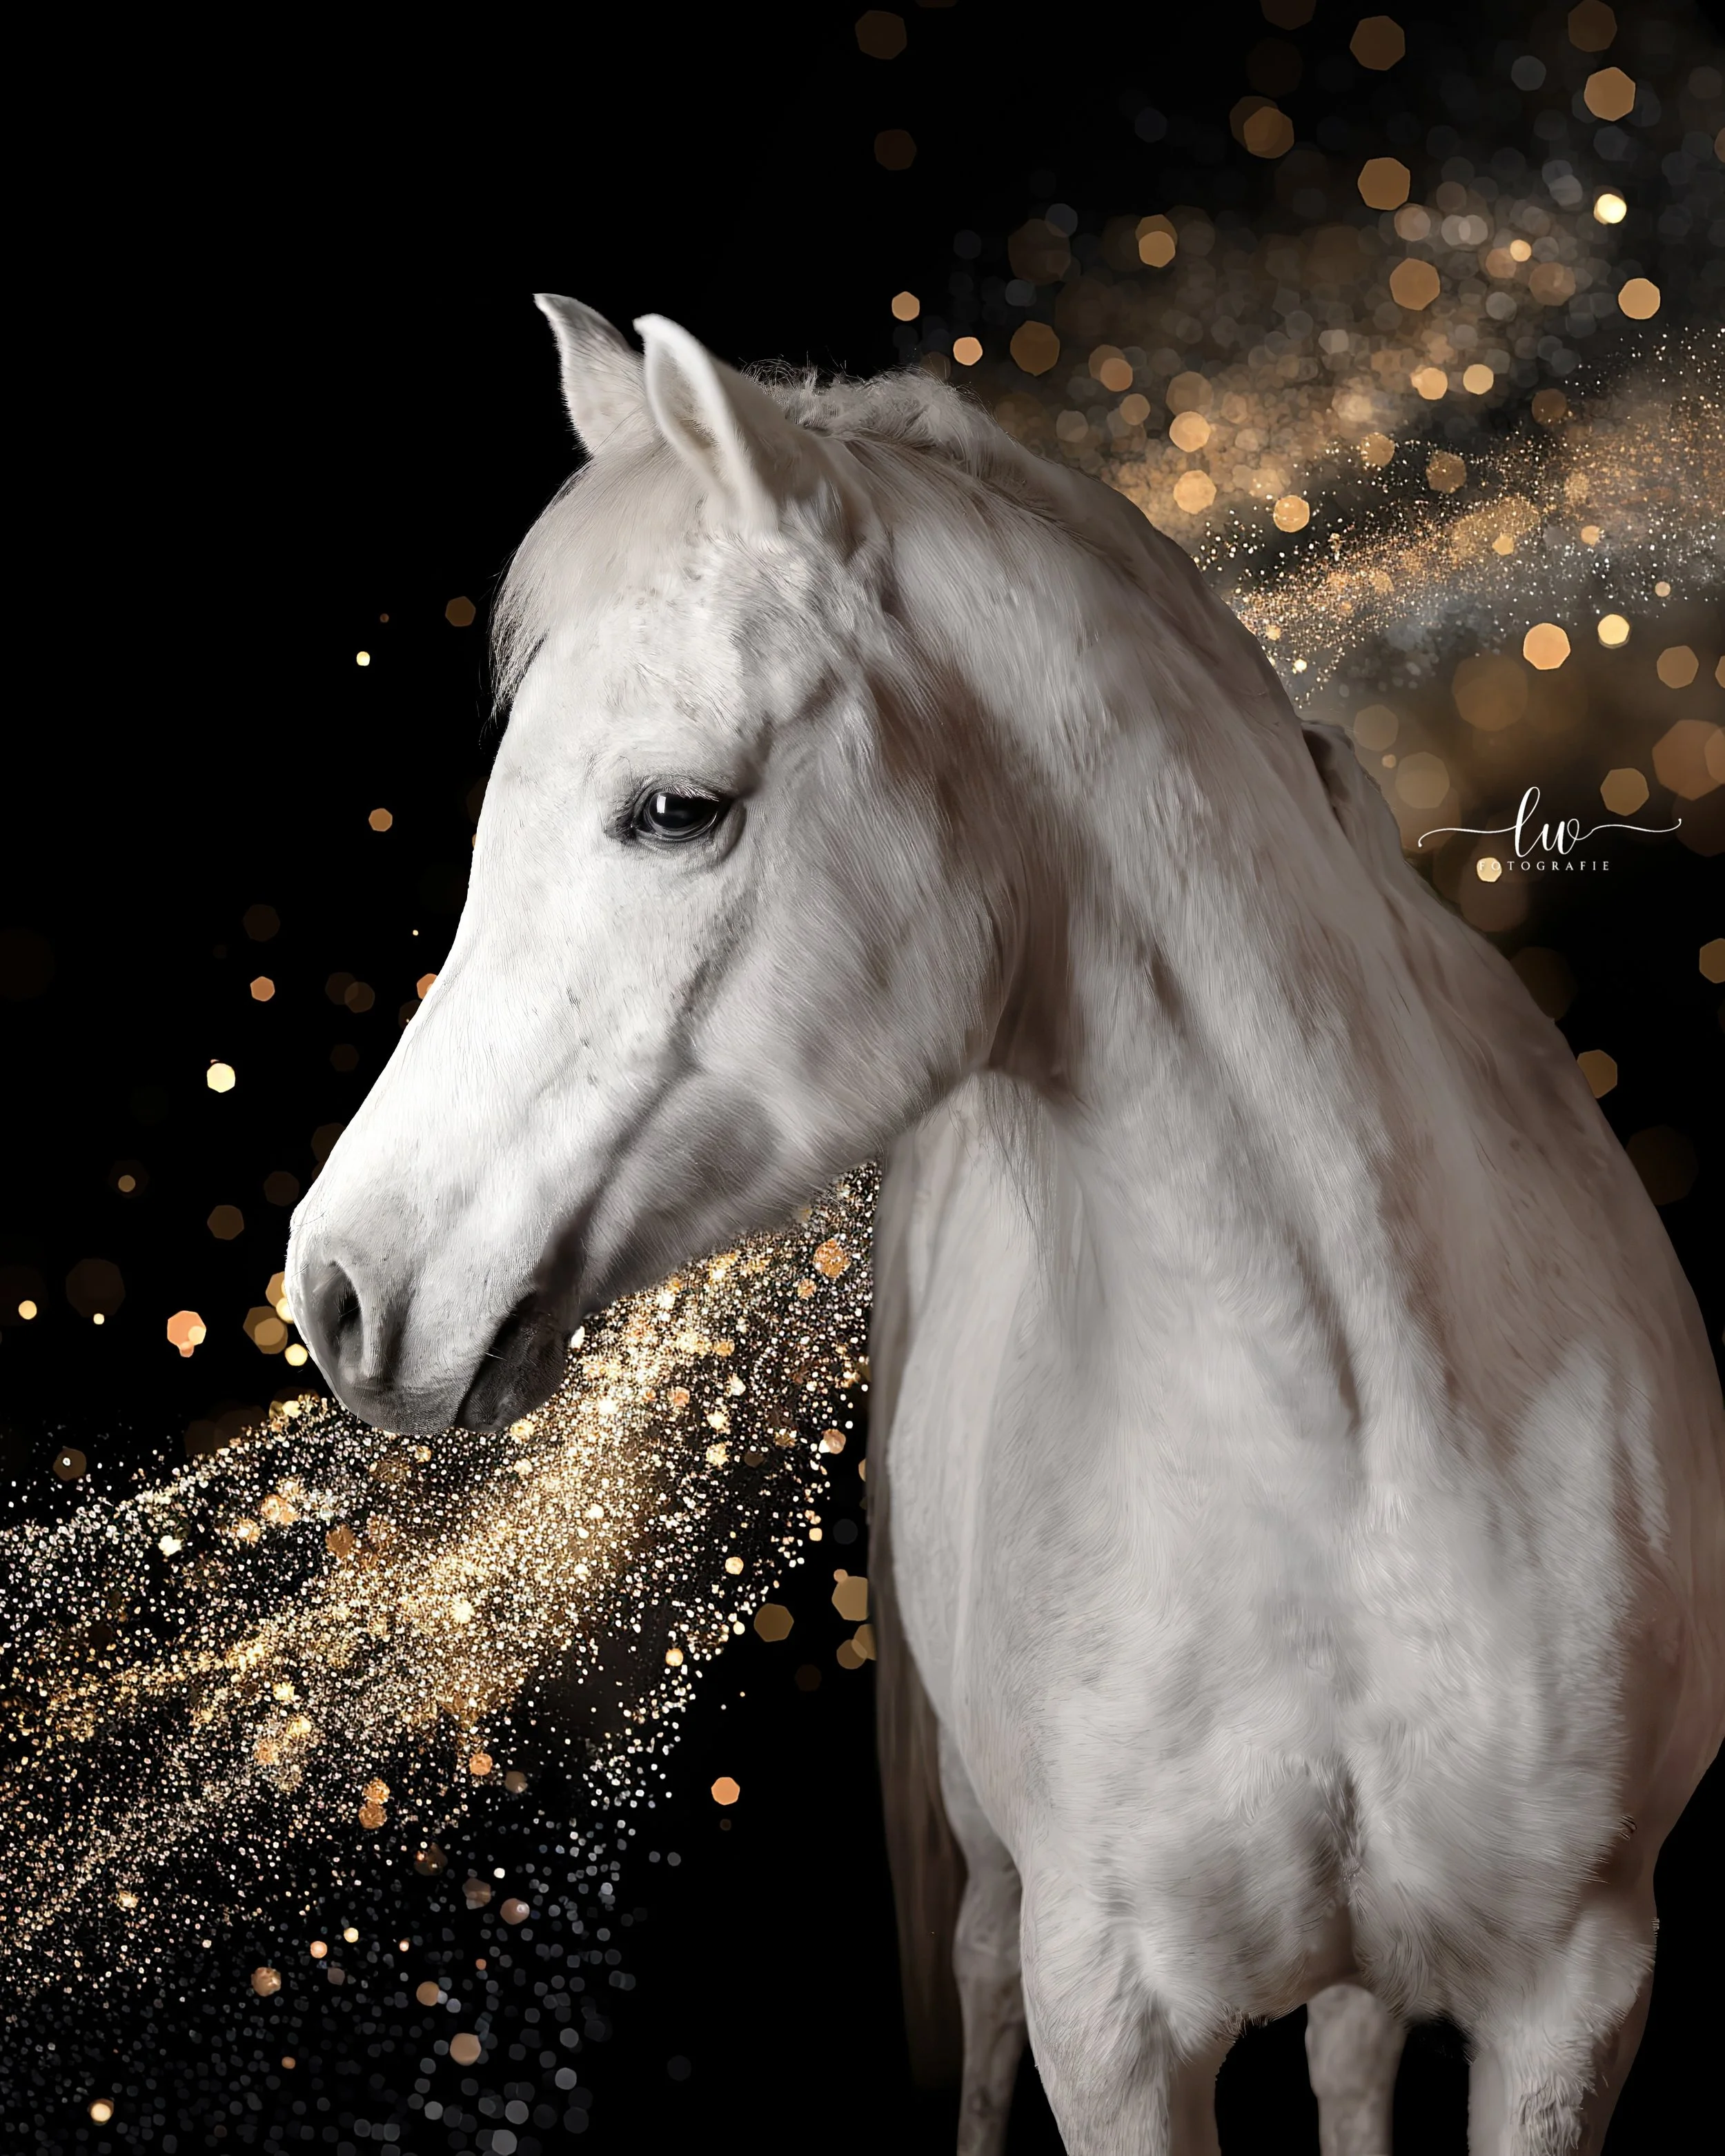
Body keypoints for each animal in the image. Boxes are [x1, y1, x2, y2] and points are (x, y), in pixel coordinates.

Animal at [287, 297, 1725, 2155]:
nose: (334, 1287)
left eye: (675, 808)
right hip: (987, 1893)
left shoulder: (1569, 1998)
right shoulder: (1105, 2010)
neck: (1346, 1439)